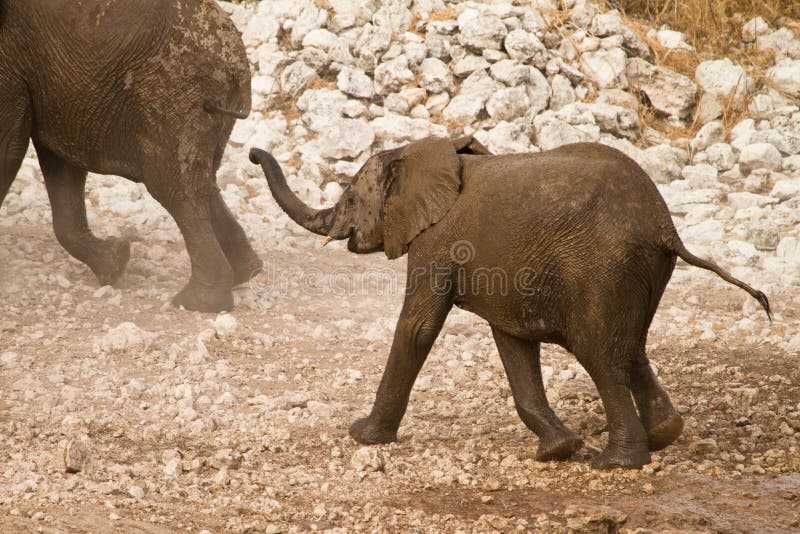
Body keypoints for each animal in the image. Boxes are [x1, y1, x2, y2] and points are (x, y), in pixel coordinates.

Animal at [0, 0, 261, 312]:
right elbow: (61, 161)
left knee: (174, 188)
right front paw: (115, 263)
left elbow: (10, 147)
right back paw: (245, 273)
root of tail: (237, 66)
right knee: (202, 180)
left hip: (171, 95)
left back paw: (198, 302)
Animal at [249, 137, 771, 469]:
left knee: (601, 354)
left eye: (352, 198)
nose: (253, 153)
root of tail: (665, 226)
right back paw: (665, 435)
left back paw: (618, 462)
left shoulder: (438, 242)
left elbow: (417, 328)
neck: (423, 152)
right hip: (638, 273)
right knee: (630, 347)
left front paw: (363, 436)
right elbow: (513, 342)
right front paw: (558, 450)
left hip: (604, 267)